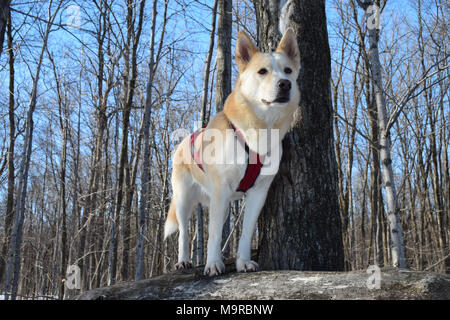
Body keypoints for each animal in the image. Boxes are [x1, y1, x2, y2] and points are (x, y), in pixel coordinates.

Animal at [163, 28, 300, 276]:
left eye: (288, 70)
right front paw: (212, 264)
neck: (259, 130)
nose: (285, 84)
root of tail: (184, 140)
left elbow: (245, 232)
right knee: (184, 233)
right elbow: (214, 234)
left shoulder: (258, 193)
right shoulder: (221, 189)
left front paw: (243, 261)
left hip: (222, 204)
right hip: (184, 198)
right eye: (262, 71)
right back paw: (183, 260)